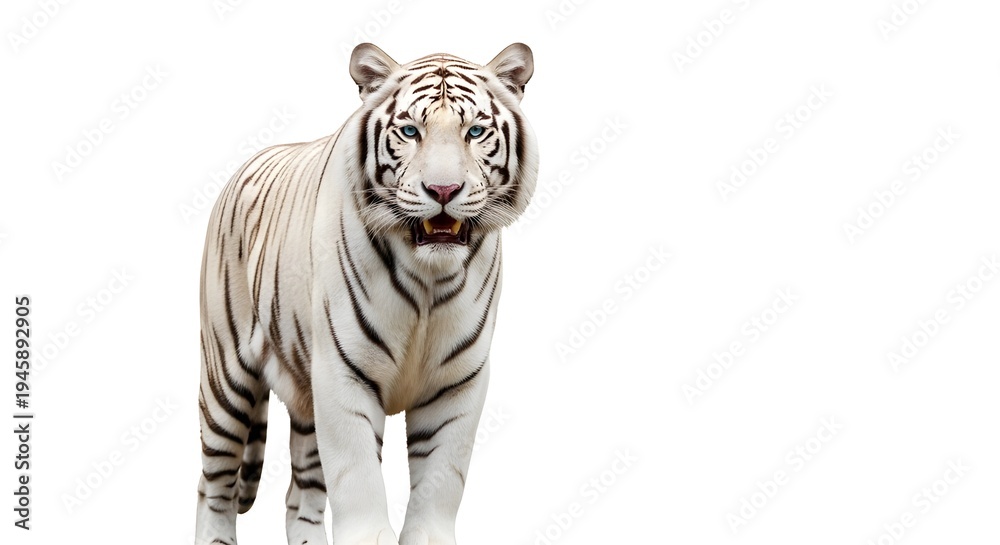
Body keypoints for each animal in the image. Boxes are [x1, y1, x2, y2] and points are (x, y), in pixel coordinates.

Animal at [194, 42, 537, 545]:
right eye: (410, 131)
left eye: (475, 131)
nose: (443, 190)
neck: (429, 277)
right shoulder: (343, 373)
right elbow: (357, 480)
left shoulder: (457, 382)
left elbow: (441, 480)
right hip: (225, 378)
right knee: (214, 483)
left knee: (300, 495)